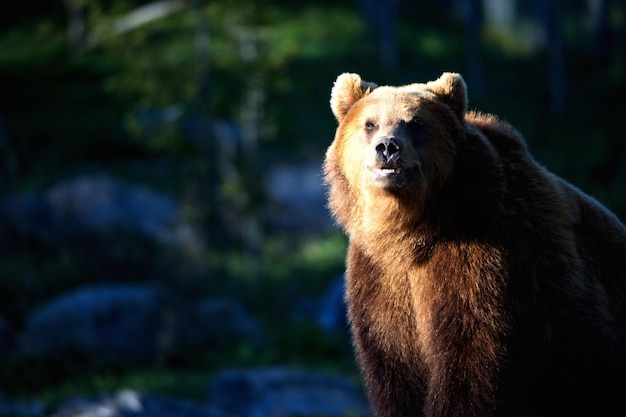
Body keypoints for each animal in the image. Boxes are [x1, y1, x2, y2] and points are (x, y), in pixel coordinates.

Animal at [322, 72, 624, 416]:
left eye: (415, 123)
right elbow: (395, 365)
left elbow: (469, 349)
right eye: (370, 123)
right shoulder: (381, 277)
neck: (411, 233)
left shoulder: (478, 255)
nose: (387, 147)